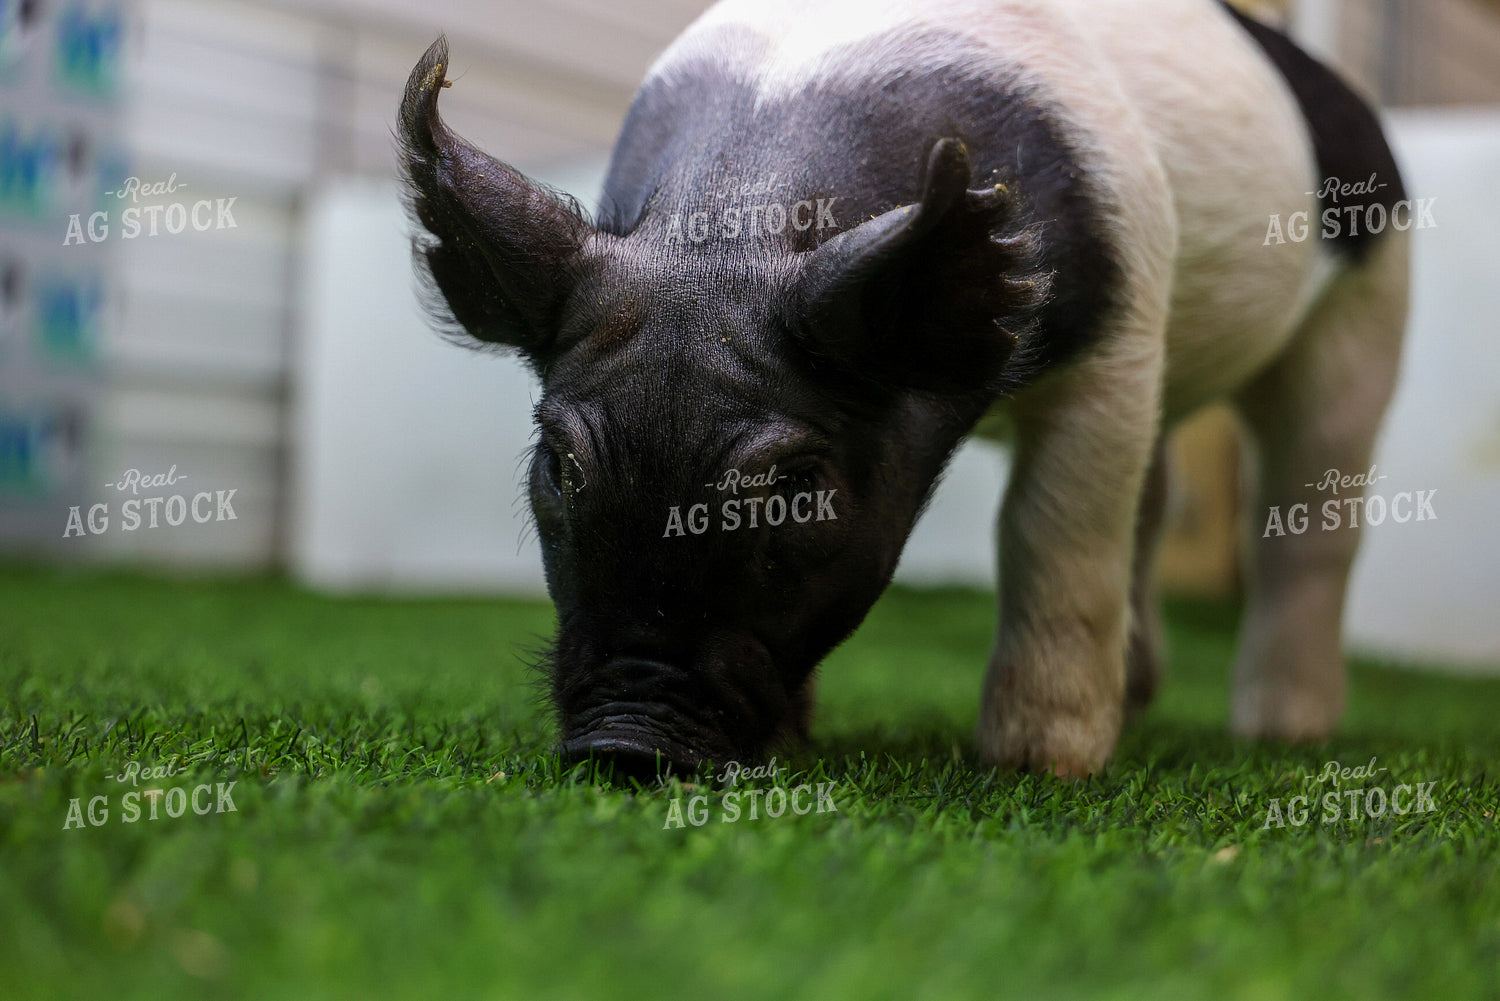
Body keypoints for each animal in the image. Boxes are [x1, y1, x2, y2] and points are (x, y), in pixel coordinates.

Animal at [397, 0, 1408, 778]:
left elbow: (1050, 533)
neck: (731, 236)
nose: (624, 747)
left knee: (1308, 512)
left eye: (798, 487)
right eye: (559, 466)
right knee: (1159, 496)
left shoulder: (1116, 341)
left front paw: (1037, 767)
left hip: (1370, 299)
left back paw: (1282, 733)